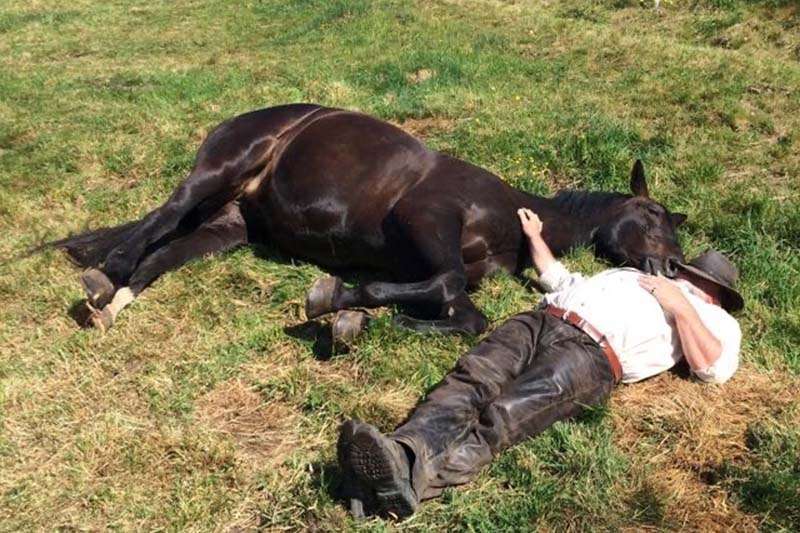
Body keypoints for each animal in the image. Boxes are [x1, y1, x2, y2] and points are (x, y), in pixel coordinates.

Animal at [48, 103, 688, 340]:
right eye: (654, 216)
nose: (672, 268)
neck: (510, 213)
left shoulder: (451, 269)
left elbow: (464, 314)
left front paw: (356, 320)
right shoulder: (428, 218)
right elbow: (446, 288)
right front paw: (335, 300)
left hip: (228, 226)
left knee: (166, 250)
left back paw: (114, 301)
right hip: (219, 170)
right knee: (165, 213)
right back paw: (106, 273)